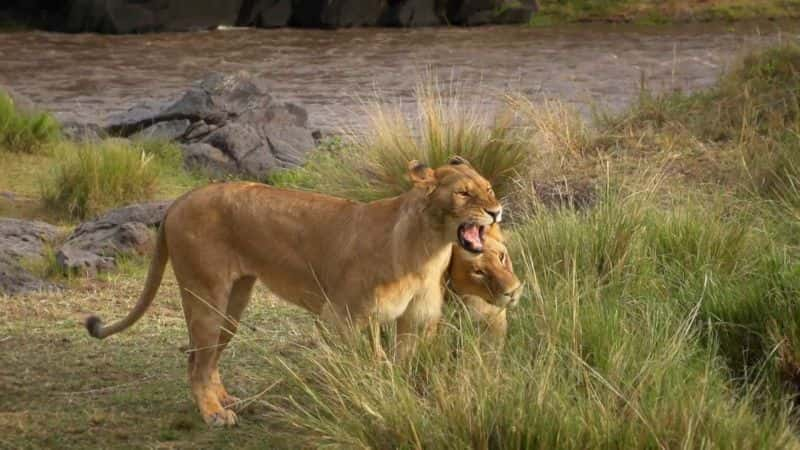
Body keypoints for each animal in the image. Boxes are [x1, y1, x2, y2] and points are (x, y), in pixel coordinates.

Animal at [84, 156, 504, 428]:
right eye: (464, 194)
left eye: (489, 189)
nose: (497, 211)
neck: (427, 250)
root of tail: (180, 199)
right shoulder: (343, 317)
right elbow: (361, 364)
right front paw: (364, 404)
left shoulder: (416, 320)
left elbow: (406, 364)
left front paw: (406, 401)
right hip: (206, 293)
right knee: (195, 361)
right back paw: (214, 414)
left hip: (234, 302)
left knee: (207, 357)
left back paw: (225, 399)